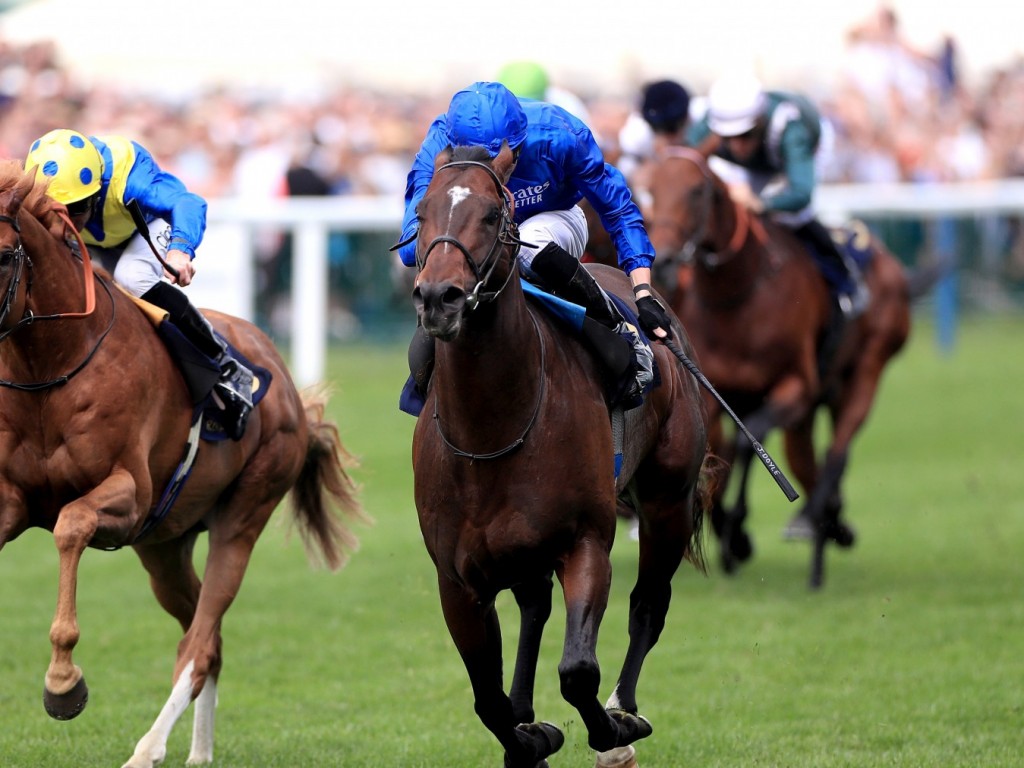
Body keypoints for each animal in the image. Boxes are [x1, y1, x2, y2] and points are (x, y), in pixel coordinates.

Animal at [0, 162, 364, 768]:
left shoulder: (128, 496)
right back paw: (198, 751)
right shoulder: (14, 498)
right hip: (164, 546)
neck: (54, 364)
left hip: (242, 516)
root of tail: (290, 391)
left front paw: (63, 684)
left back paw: (149, 748)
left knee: (200, 641)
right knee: (206, 636)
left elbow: (71, 523)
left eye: (6, 254)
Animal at [403, 144, 716, 768]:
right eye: (421, 213)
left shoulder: (585, 541)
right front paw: (528, 737)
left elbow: (577, 670)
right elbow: (488, 698)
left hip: (666, 500)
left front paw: (611, 734)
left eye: (492, 215)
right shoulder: (457, 579)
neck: (492, 427)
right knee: (534, 608)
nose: (439, 298)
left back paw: (624, 706)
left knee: (649, 603)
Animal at [647, 145, 913, 589]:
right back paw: (827, 528)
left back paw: (818, 543)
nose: (664, 260)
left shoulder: (796, 387)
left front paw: (738, 533)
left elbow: (746, 443)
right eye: (649, 187)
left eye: (698, 190)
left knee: (834, 456)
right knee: (809, 463)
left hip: (865, 372)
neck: (738, 296)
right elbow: (715, 456)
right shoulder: (714, 395)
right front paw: (731, 537)